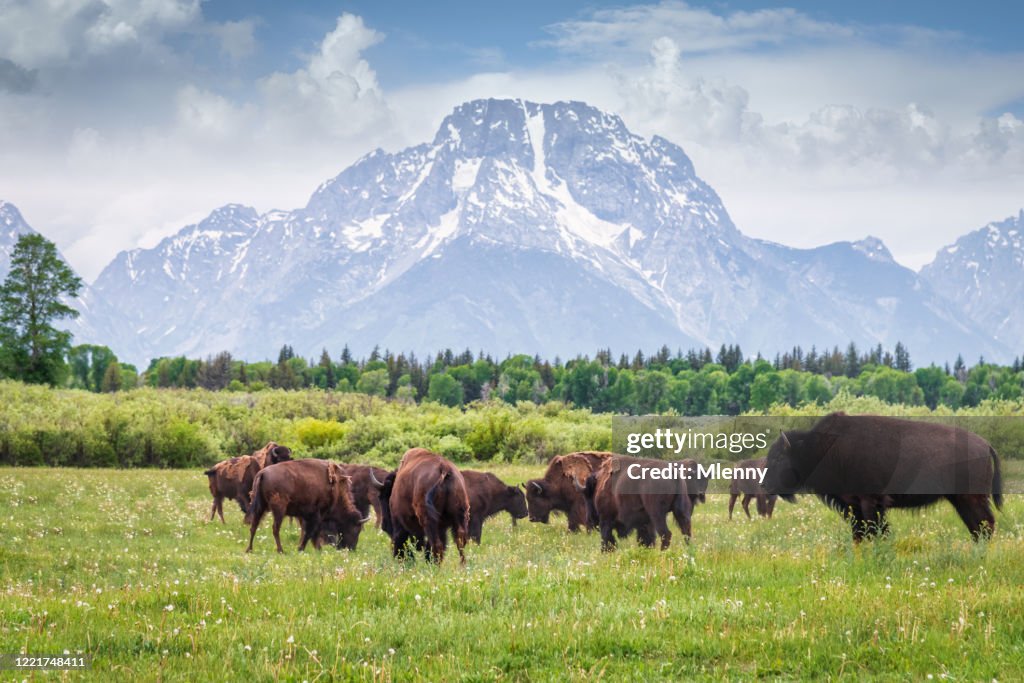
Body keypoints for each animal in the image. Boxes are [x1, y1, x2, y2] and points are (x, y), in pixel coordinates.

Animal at [765, 413, 1003, 540]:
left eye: (777, 458)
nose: (765, 485)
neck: (820, 448)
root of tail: (986, 445)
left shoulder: (871, 502)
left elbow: (875, 531)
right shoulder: (853, 506)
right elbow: (859, 534)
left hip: (971, 498)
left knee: (985, 524)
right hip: (961, 501)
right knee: (978, 527)